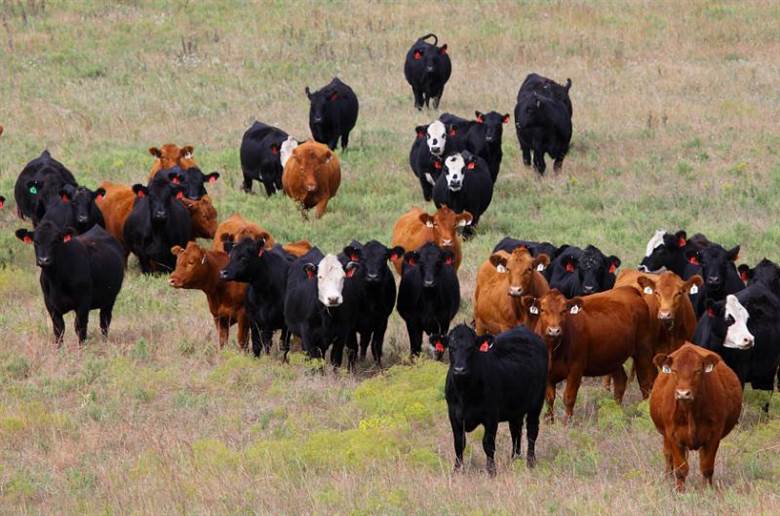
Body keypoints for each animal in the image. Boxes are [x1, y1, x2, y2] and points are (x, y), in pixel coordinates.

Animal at [443, 324, 548, 475]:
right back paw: (515, 458)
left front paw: (492, 471)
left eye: (471, 348)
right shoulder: (454, 415)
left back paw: (530, 462)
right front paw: (456, 470)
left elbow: (488, 444)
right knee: (516, 430)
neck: (465, 393)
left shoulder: (491, 416)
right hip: (516, 409)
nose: (459, 369)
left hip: (536, 403)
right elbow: (459, 443)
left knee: (532, 431)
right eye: (451, 347)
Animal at [521, 287, 655, 422]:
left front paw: (567, 422)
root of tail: (629, 289)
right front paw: (550, 421)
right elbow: (549, 398)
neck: (553, 350)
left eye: (564, 311)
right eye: (542, 310)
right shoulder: (547, 372)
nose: (554, 331)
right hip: (613, 358)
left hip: (643, 350)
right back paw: (615, 412)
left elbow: (569, 397)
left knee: (645, 384)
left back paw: (645, 413)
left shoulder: (576, 369)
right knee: (621, 381)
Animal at [649, 343, 742, 492]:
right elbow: (681, 468)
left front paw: (707, 490)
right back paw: (668, 479)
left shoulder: (714, 435)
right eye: (674, 371)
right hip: (665, 436)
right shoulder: (672, 435)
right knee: (668, 455)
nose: (683, 393)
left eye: (698, 371)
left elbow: (707, 467)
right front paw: (680, 491)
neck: (690, 412)